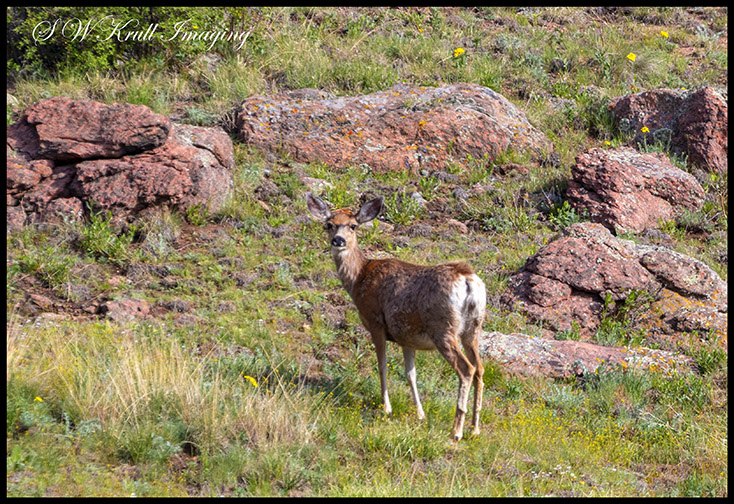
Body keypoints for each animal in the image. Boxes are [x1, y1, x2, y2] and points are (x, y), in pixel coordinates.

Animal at [306, 192, 486, 441]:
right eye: (329, 225)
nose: (339, 241)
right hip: (474, 328)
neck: (359, 278)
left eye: (353, 226)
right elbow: (411, 374)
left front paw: (387, 408)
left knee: (467, 368)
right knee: (480, 368)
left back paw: (456, 430)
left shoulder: (375, 321)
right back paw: (474, 427)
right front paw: (420, 414)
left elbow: (381, 365)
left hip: (443, 327)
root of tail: (468, 279)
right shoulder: (406, 337)